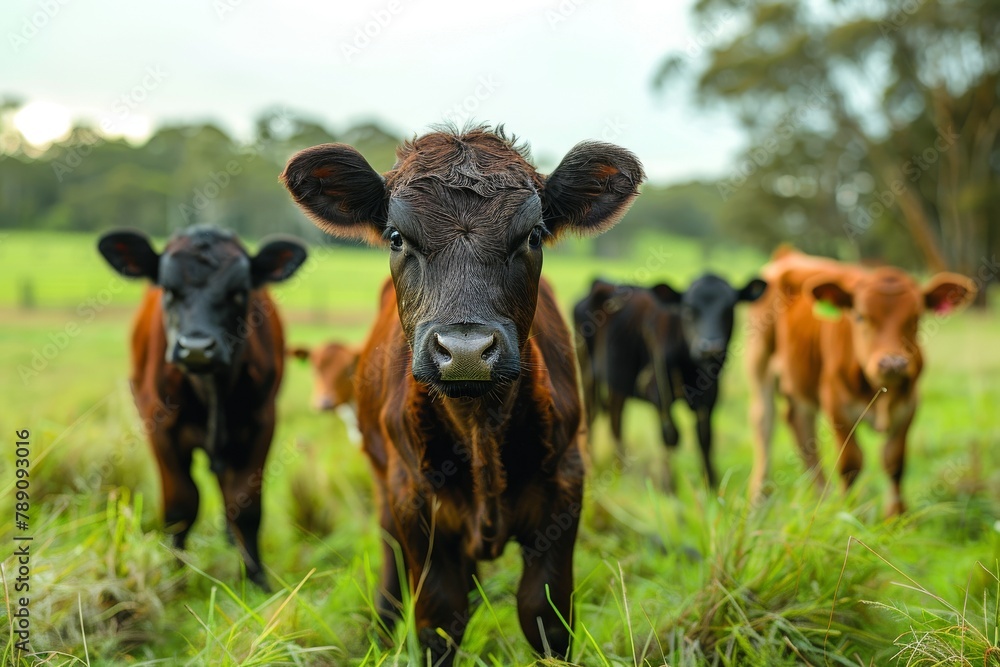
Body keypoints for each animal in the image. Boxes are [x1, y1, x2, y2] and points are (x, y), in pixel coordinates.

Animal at [752, 248, 976, 516]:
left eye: (916, 318)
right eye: (860, 316)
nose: (893, 363)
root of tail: (787, 255)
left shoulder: (909, 405)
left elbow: (894, 462)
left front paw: (897, 516)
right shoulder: (835, 403)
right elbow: (851, 463)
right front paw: (847, 511)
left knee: (801, 425)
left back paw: (820, 496)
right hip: (760, 362)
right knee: (765, 424)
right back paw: (759, 499)